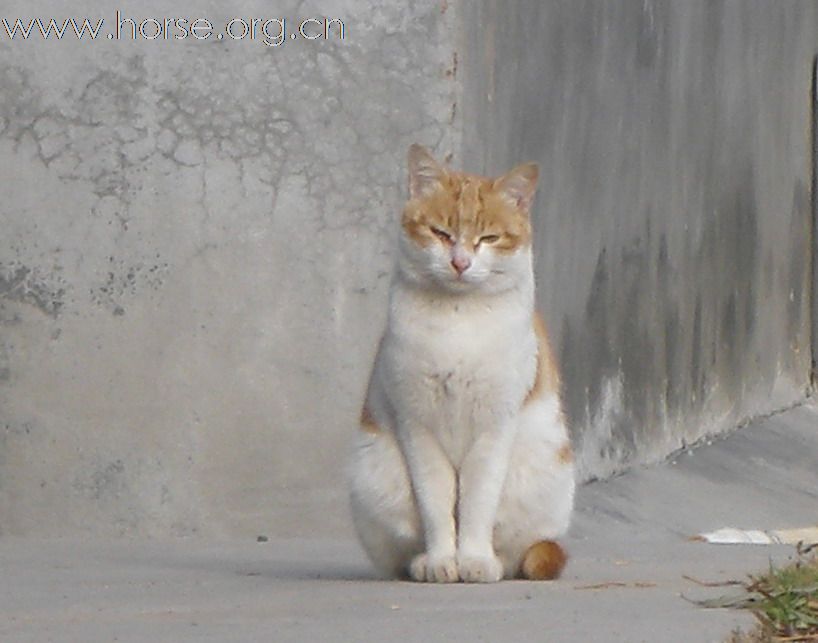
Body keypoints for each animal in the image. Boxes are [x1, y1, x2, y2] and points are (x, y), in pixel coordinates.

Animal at [350, 145, 572, 584]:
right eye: (440, 233)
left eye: (488, 238)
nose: (460, 262)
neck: (458, 318)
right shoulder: (418, 427)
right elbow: (437, 505)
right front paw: (441, 561)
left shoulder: (493, 428)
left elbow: (476, 504)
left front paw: (474, 560)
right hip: (376, 474)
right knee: (402, 554)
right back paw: (421, 563)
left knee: (520, 551)